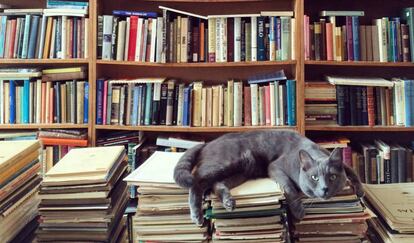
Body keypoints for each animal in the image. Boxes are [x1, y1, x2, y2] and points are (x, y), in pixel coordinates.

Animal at [173, 130, 364, 225]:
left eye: (332, 177)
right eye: (314, 177)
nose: (325, 189)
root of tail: (206, 143)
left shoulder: (344, 166)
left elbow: (353, 171)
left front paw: (360, 191)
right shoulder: (275, 167)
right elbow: (289, 187)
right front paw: (298, 211)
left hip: (240, 172)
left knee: (216, 184)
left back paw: (228, 202)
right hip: (225, 163)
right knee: (196, 182)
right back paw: (196, 215)